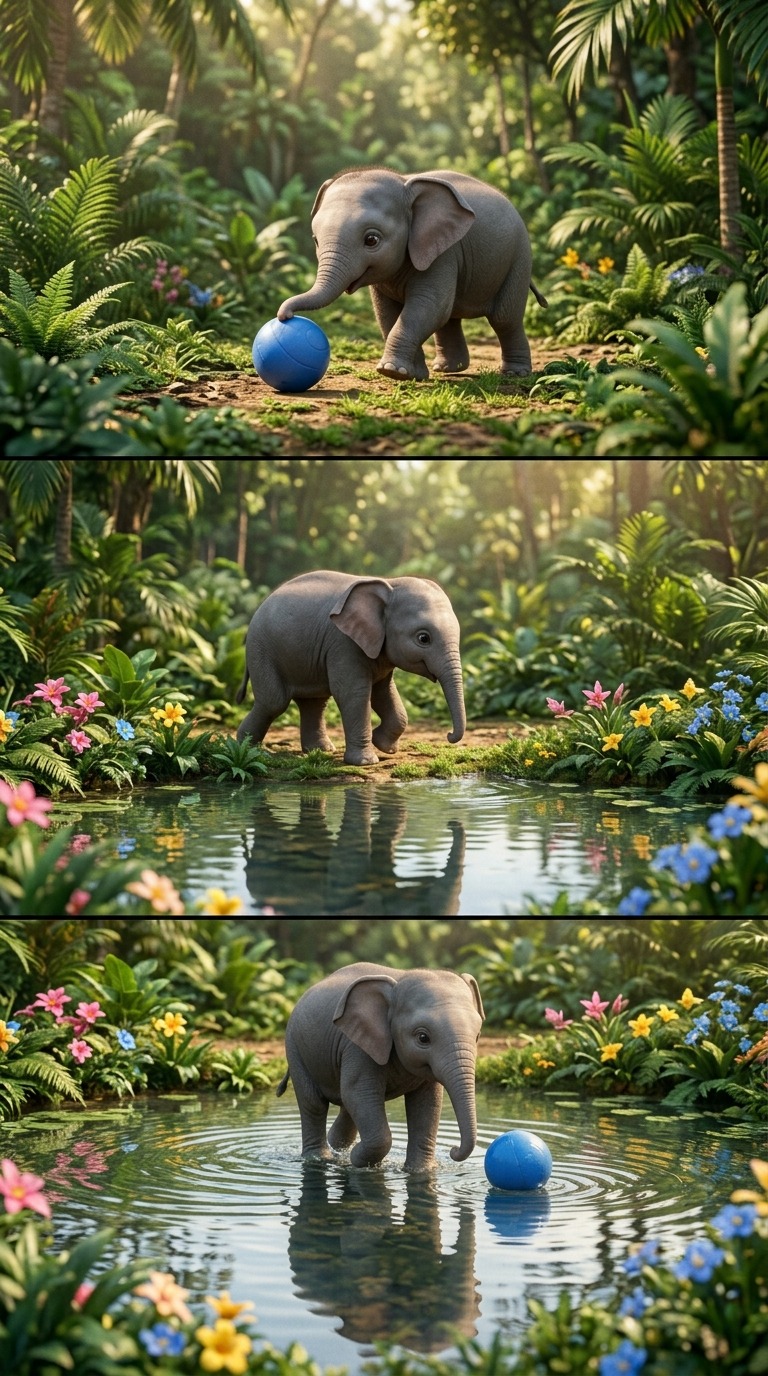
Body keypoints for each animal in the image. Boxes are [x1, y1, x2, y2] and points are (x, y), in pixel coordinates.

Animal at [235, 569, 465, 766]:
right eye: (423, 638)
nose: (449, 735)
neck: (389, 583)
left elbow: (384, 692)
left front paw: (384, 747)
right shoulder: (343, 643)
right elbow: (354, 692)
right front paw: (366, 761)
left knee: (314, 702)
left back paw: (320, 750)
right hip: (260, 650)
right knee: (274, 701)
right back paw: (249, 749)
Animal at [276, 961, 485, 1170]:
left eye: (477, 1036)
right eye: (423, 1037)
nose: (453, 1150)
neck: (399, 981)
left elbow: (428, 1103)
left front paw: (420, 1171)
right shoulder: (356, 1047)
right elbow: (358, 1093)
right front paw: (358, 1160)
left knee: (346, 1108)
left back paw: (338, 1151)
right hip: (295, 1048)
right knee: (314, 1103)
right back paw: (321, 1160)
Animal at [277, 167, 547, 381]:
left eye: (371, 240)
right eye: (316, 240)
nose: (284, 316)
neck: (405, 182)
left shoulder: (444, 253)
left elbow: (427, 306)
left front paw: (391, 371)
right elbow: (387, 312)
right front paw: (411, 375)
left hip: (519, 258)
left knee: (504, 317)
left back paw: (515, 373)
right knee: (450, 317)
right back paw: (447, 369)